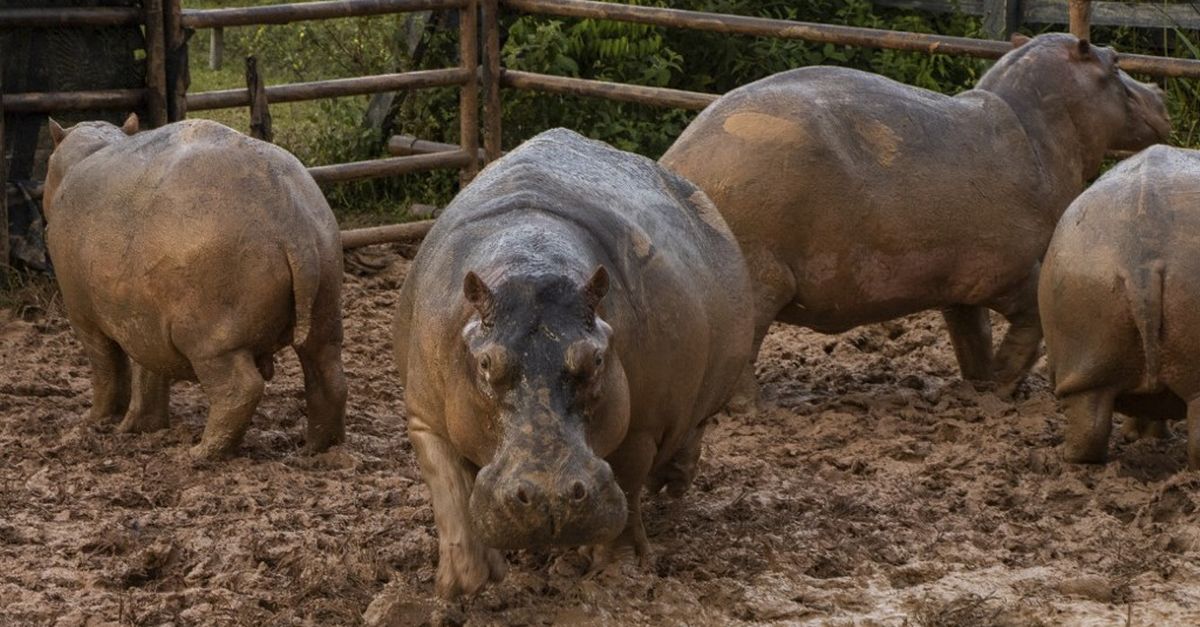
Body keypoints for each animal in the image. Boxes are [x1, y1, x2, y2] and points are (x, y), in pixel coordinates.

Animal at [44, 114, 345, 458]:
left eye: (47, 163)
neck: (88, 150)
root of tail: (292, 225)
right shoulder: (145, 321)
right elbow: (148, 374)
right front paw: (140, 427)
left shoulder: (84, 317)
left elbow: (108, 369)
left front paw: (94, 422)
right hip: (325, 306)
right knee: (329, 376)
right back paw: (316, 449)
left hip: (210, 339)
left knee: (240, 389)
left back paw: (198, 453)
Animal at [393, 125, 748, 595]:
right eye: (486, 364)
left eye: (595, 359)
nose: (550, 496)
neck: (529, 260)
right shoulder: (425, 417)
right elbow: (450, 491)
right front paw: (465, 584)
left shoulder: (641, 424)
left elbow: (627, 487)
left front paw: (618, 572)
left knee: (690, 431)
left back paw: (670, 486)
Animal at [662, 32, 1166, 401]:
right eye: (1114, 61)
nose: (1160, 90)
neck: (1039, 131)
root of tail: (676, 163)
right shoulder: (1011, 271)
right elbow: (1031, 322)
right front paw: (1003, 388)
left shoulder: (960, 287)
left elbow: (971, 337)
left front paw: (979, 386)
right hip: (759, 277)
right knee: (742, 352)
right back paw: (753, 406)